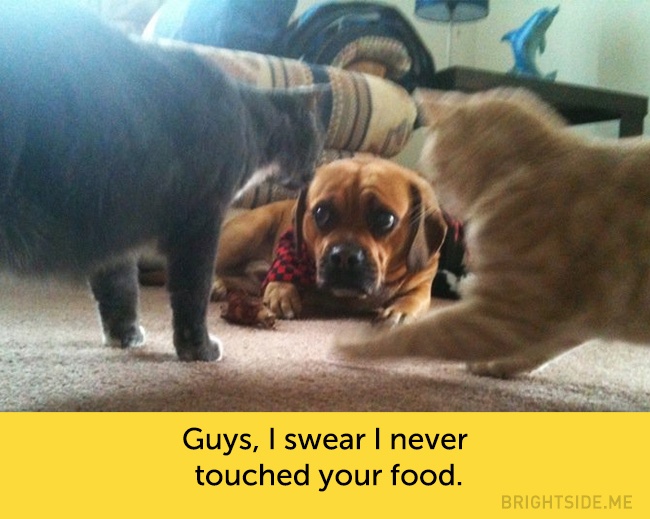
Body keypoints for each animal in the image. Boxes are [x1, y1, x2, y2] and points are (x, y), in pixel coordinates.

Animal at [0, 2, 324, 361]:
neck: (252, 123)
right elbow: (192, 292)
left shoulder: (116, 229)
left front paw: (125, 335)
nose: (316, 171)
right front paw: (199, 350)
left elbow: (120, 288)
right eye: (317, 143)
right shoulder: (200, 222)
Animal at [215, 156, 448, 326]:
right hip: (247, 233)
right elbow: (281, 274)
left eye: (385, 219)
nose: (344, 256)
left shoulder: (422, 284)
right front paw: (282, 291)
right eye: (321, 212)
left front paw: (400, 310)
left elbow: (414, 298)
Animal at [336, 87, 650, 378]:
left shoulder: (508, 311)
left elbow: (424, 333)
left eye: (433, 172)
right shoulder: (564, 318)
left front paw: (355, 347)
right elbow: (542, 349)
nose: (433, 199)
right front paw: (501, 366)